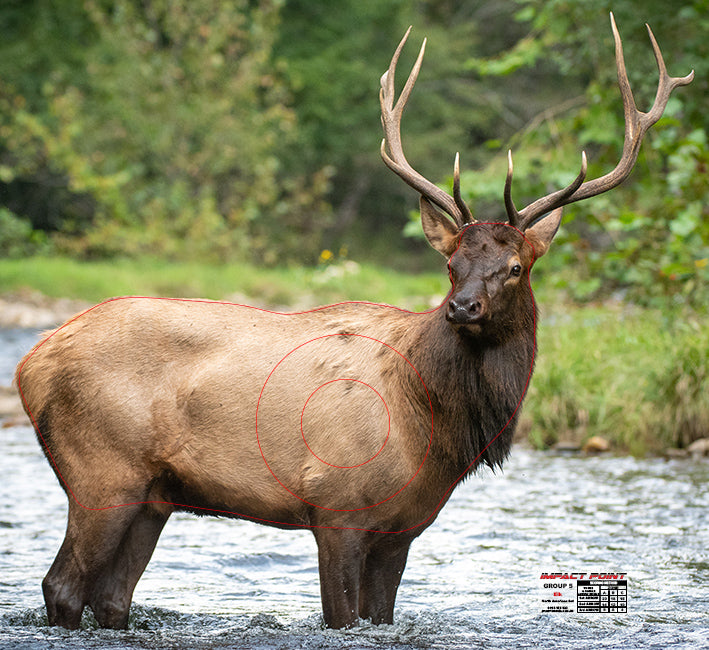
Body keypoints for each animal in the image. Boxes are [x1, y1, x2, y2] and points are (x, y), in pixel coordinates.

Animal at [15, 13, 691, 631]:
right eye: (451, 264)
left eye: (515, 267)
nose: (462, 307)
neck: (434, 426)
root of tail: (28, 363)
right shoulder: (335, 507)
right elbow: (341, 615)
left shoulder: (403, 528)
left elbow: (379, 613)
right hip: (101, 473)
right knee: (62, 586)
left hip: (154, 494)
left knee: (113, 599)